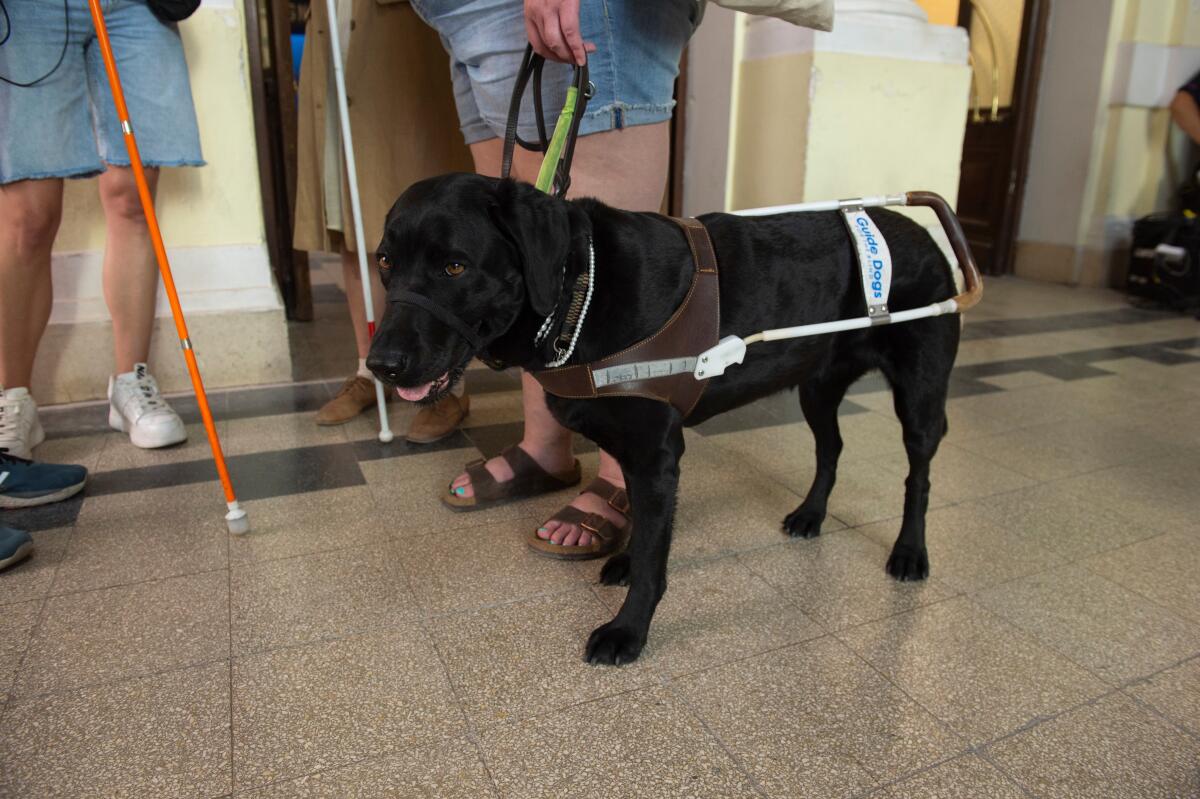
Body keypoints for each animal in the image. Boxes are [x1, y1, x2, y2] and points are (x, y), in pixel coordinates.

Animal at [369, 173, 960, 667]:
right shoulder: (637, 456)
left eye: (455, 266)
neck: (579, 290)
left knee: (920, 475)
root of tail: (923, 233)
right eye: (385, 262)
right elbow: (643, 527)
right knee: (830, 449)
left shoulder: (655, 456)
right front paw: (629, 561)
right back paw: (811, 514)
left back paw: (910, 552)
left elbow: (656, 559)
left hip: (920, 395)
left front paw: (628, 630)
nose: (380, 364)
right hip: (816, 385)